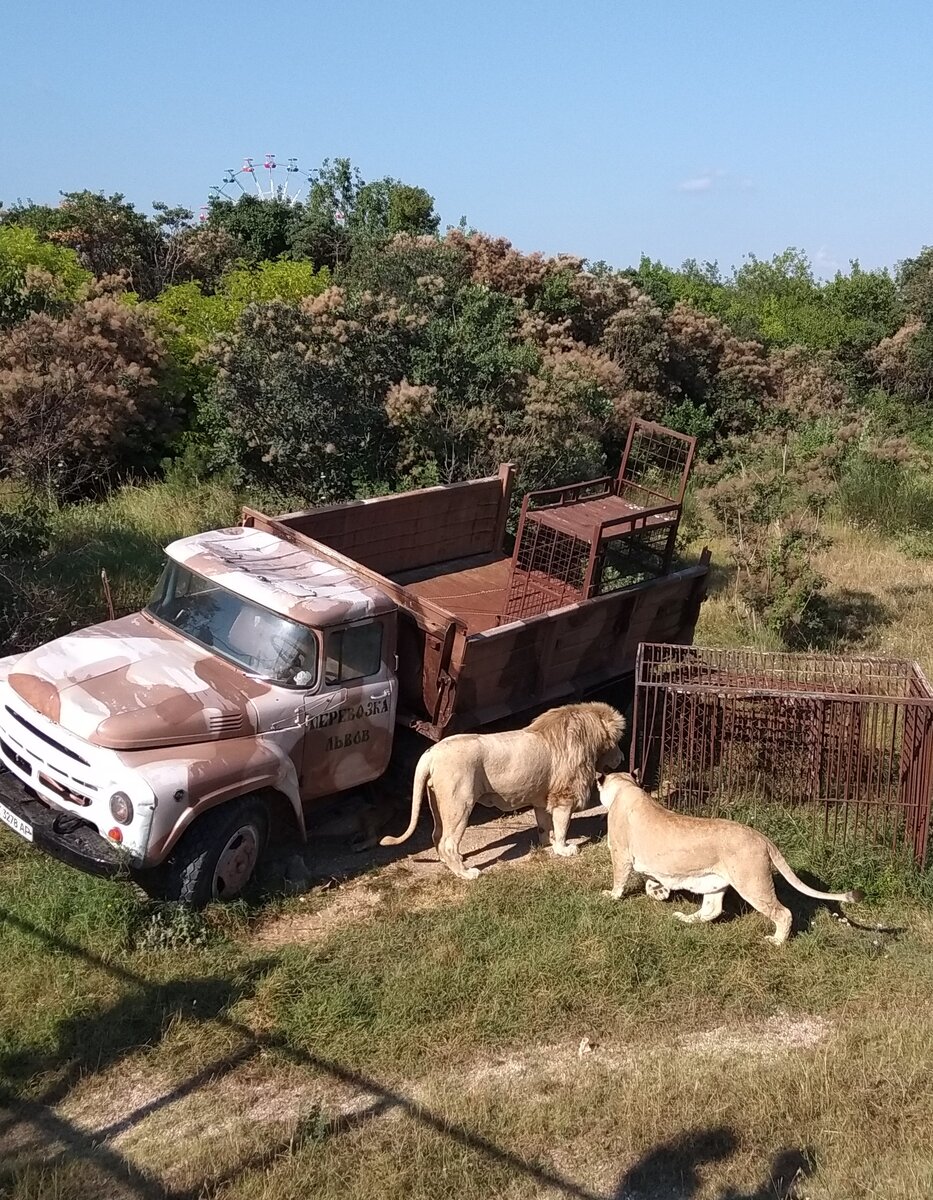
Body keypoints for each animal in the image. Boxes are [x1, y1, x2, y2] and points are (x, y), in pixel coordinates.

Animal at [378, 700, 623, 883]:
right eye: (617, 742)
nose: (621, 758)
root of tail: (431, 752)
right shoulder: (564, 797)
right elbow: (563, 826)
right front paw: (564, 850)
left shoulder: (542, 799)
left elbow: (544, 825)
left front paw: (548, 843)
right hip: (460, 803)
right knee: (448, 842)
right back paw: (466, 873)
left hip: (438, 803)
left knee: (437, 836)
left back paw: (450, 863)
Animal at [597, 768, 858, 945]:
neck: (627, 787)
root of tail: (762, 838)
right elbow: (652, 879)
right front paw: (659, 893)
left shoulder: (620, 853)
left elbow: (620, 878)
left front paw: (611, 896)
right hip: (715, 881)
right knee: (711, 910)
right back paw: (684, 918)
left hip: (752, 883)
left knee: (783, 913)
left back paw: (775, 942)